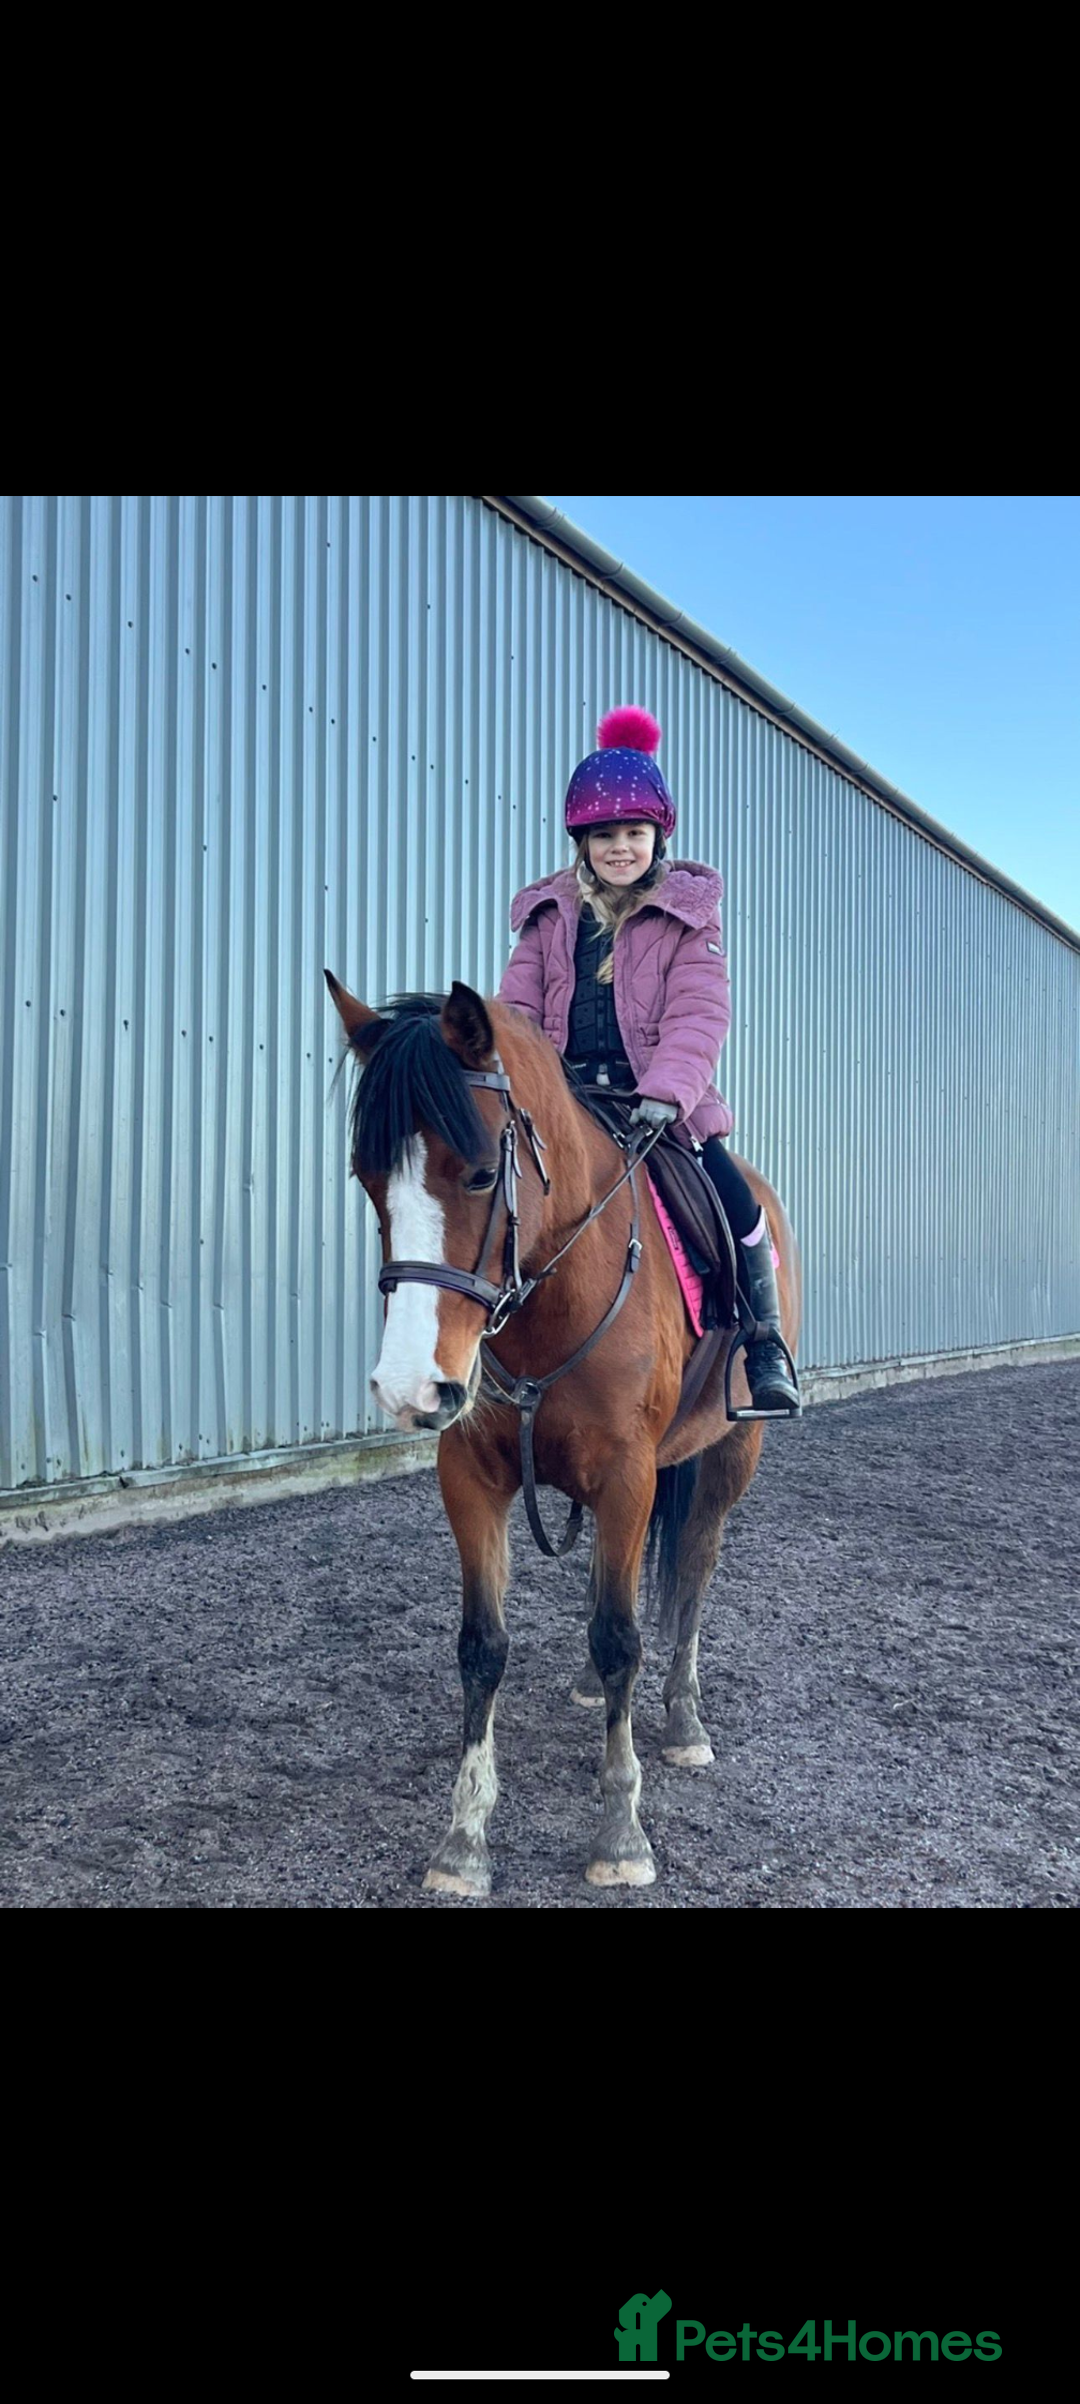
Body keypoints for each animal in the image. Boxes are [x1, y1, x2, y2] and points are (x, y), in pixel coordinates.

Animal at [326, 972, 802, 1897]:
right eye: (367, 1178)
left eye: (480, 1173)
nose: (408, 1388)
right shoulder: (470, 1476)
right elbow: (483, 1646)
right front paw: (464, 1840)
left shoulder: (629, 1477)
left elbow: (623, 1638)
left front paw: (621, 1836)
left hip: (732, 1454)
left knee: (694, 1569)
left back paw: (683, 1721)